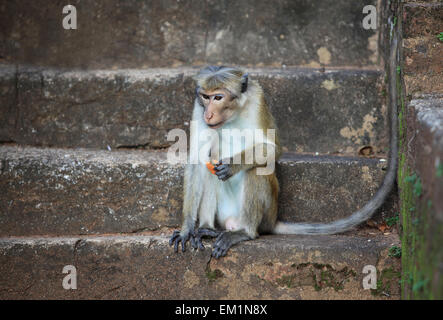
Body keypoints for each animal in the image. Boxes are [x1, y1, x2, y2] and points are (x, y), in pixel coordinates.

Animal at [170, 61, 398, 258]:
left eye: (218, 97)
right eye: (204, 97)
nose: (208, 114)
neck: (232, 114)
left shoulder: (258, 100)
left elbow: (272, 149)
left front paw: (234, 164)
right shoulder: (197, 107)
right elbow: (196, 159)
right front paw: (186, 229)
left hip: (267, 213)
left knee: (257, 170)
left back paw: (245, 232)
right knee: (208, 168)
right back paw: (207, 228)